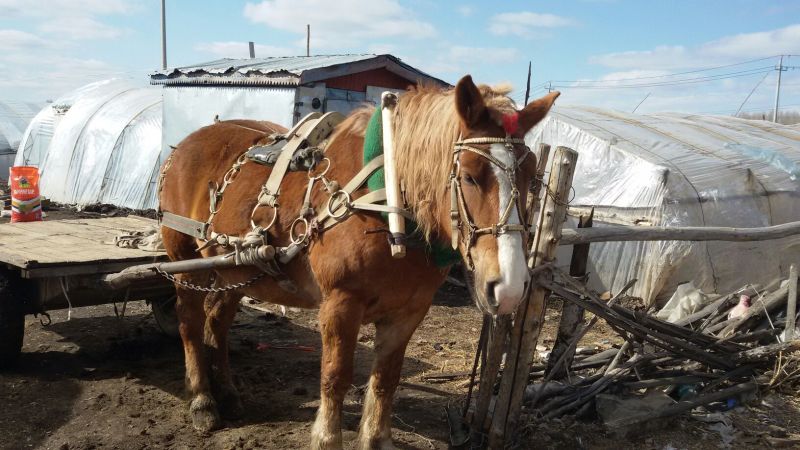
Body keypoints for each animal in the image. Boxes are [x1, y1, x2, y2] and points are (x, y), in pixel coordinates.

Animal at [158, 75, 559, 449]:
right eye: (470, 175)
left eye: (532, 177)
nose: (509, 288)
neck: (388, 203)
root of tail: (185, 144)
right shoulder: (340, 303)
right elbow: (335, 376)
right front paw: (326, 438)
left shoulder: (410, 310)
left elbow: (386, 379)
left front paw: (376, 438)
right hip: (184, 259)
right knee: (190, 322)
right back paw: (202, 399)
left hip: (233, 269)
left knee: (218, 321)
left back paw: (227, 393)